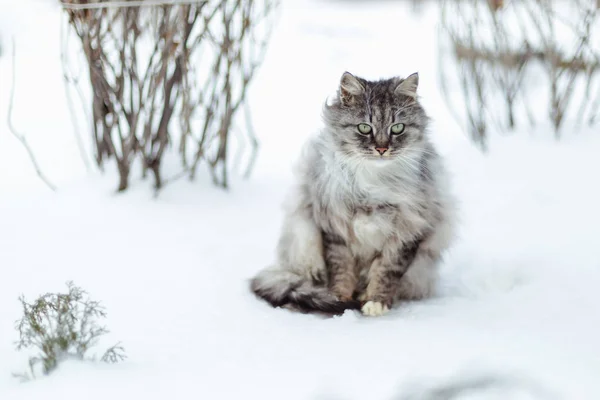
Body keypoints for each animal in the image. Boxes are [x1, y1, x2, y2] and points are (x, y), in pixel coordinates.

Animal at [250, 71, 454, 316]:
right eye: (364, 128)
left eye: (397, 128)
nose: (382, 149)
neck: (373, 184)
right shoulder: (334, 229)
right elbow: (341, 271)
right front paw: (339, 298)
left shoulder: (407, 232)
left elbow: (385, 273)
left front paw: (376, 302)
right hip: (302, 241)